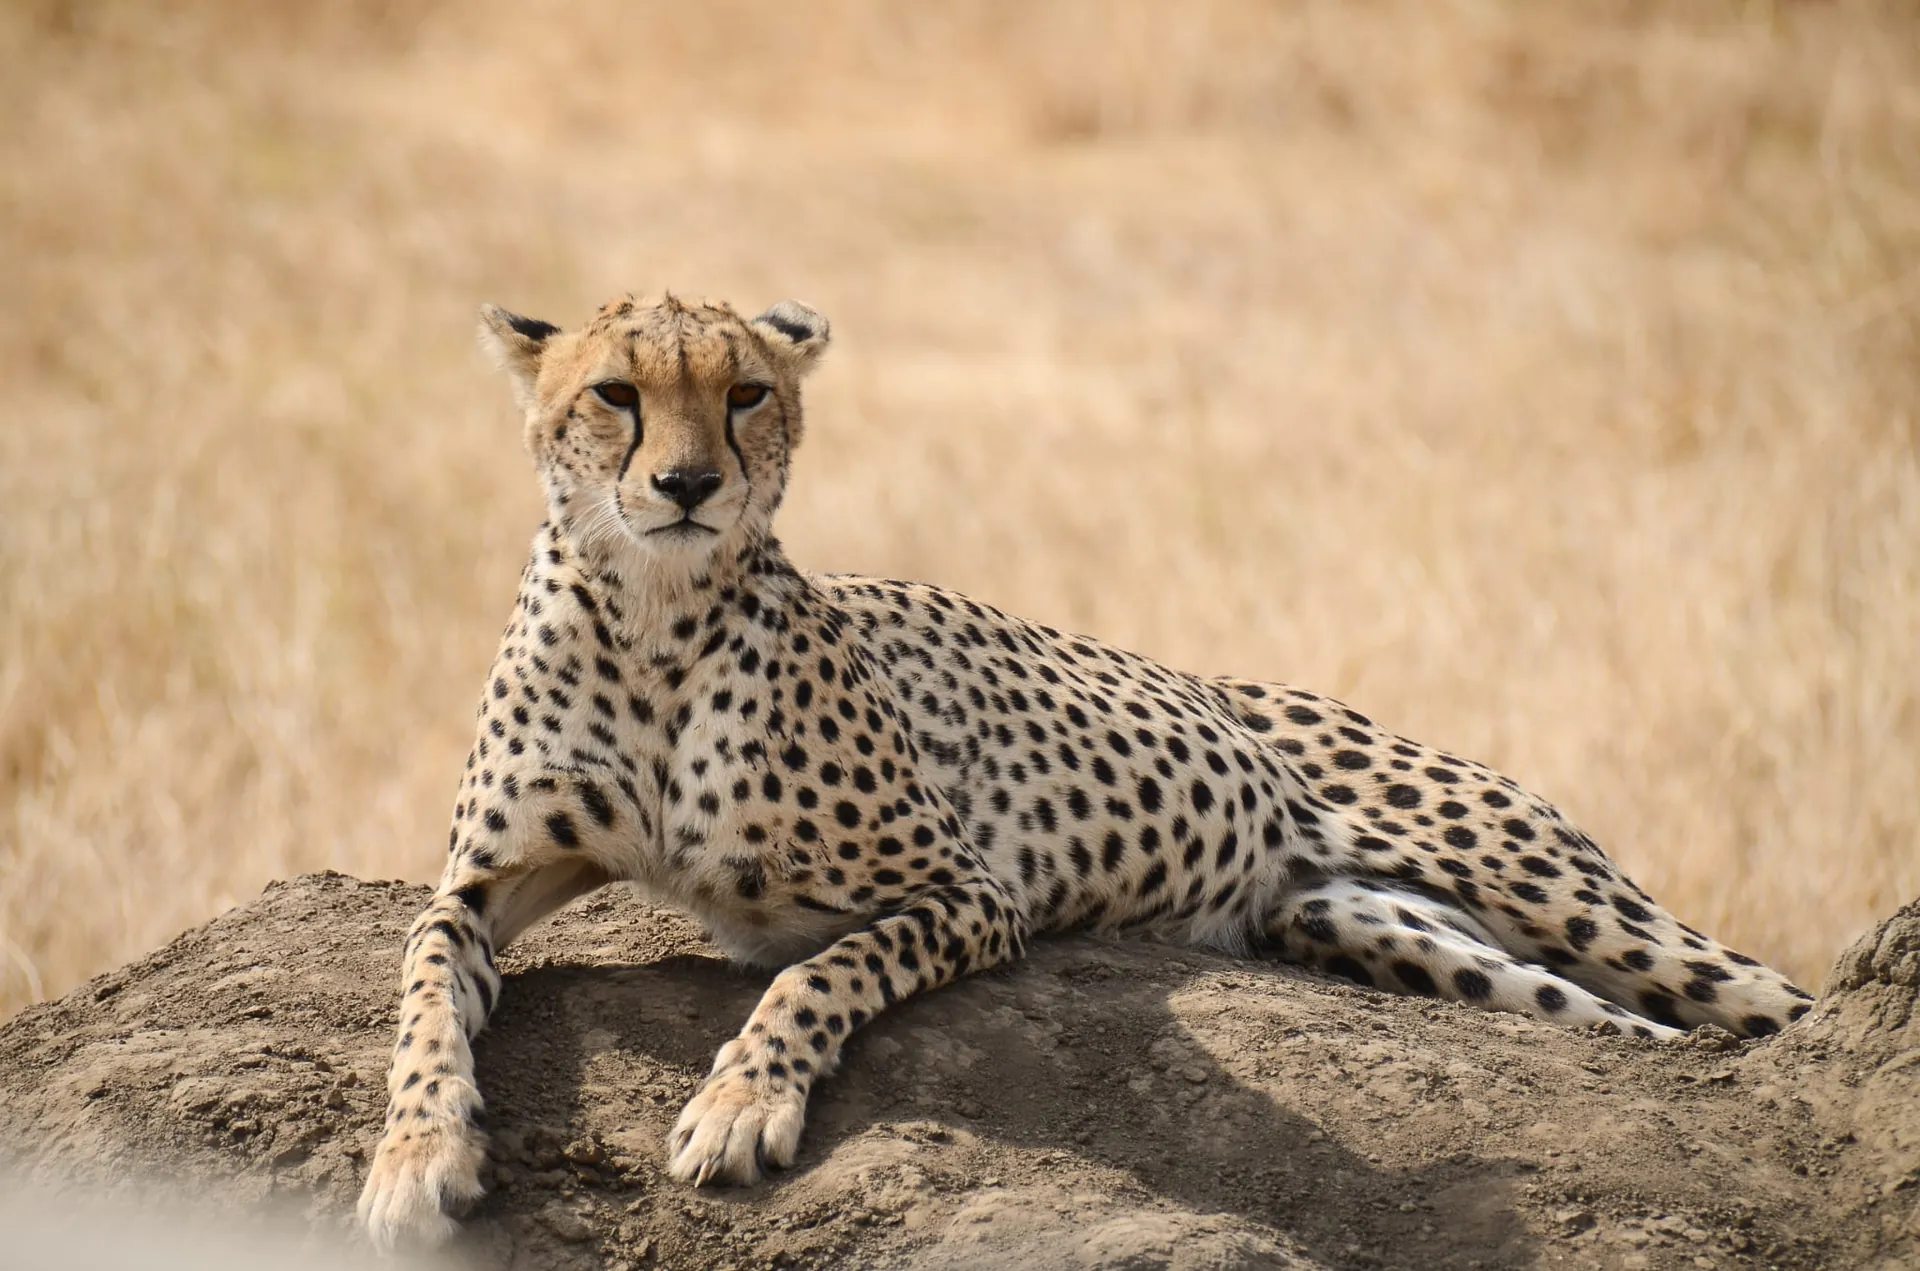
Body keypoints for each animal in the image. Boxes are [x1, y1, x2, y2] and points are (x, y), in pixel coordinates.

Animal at [356, 292, 1812, 1250]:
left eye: (745, 393)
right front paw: (418, 1154)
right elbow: (425, 996)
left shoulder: (965, 888)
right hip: (1379, 929)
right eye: (616, 395)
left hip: (1554, 889)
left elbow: (813, 974)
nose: (687, 483)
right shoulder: (480, 882)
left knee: (1761, 1003)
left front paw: (738, 1103)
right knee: (1635, 1029)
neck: (656, 621)